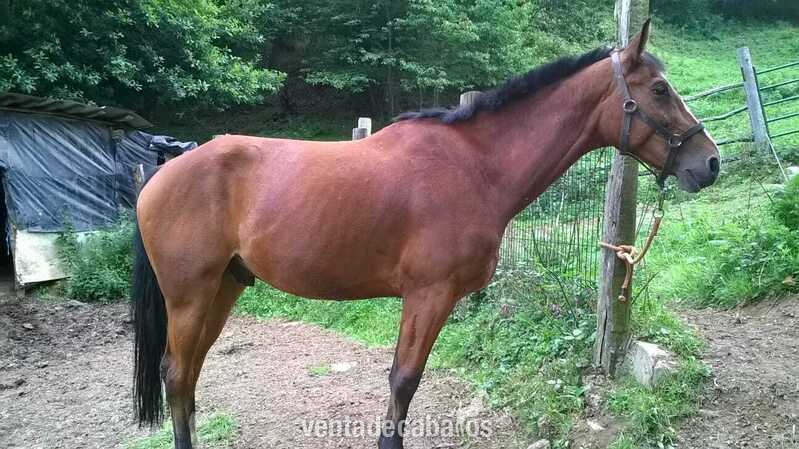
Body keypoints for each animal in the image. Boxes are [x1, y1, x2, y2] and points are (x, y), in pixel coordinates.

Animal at [132, 21, 719, 449]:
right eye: (660, 89)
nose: (709, 162)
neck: (475, 167)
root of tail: (163, 171)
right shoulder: (429, 296)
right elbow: (403, 381)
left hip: (224, 288)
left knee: (189, 375)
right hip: (190, 295)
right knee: (177, 374)